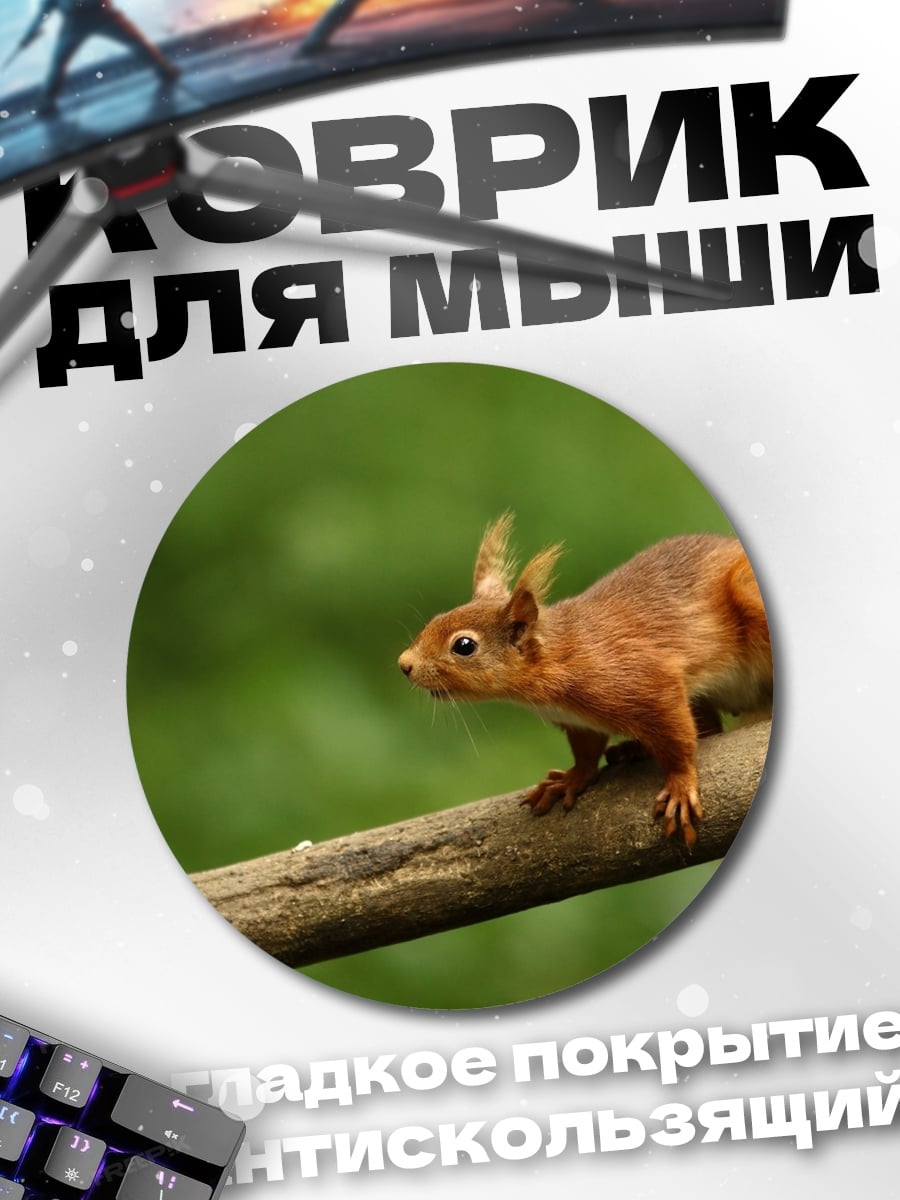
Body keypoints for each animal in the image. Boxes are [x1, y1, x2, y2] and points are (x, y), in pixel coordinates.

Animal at [398, 513, 772, 846]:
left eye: (464, 646)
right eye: (435, 618)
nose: (404, 664)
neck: (558, 659)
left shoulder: (646, 681)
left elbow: (678, 740)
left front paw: (680, 784)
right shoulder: (580, 721)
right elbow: (587, 751)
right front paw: (571, 779)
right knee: (710, 726)